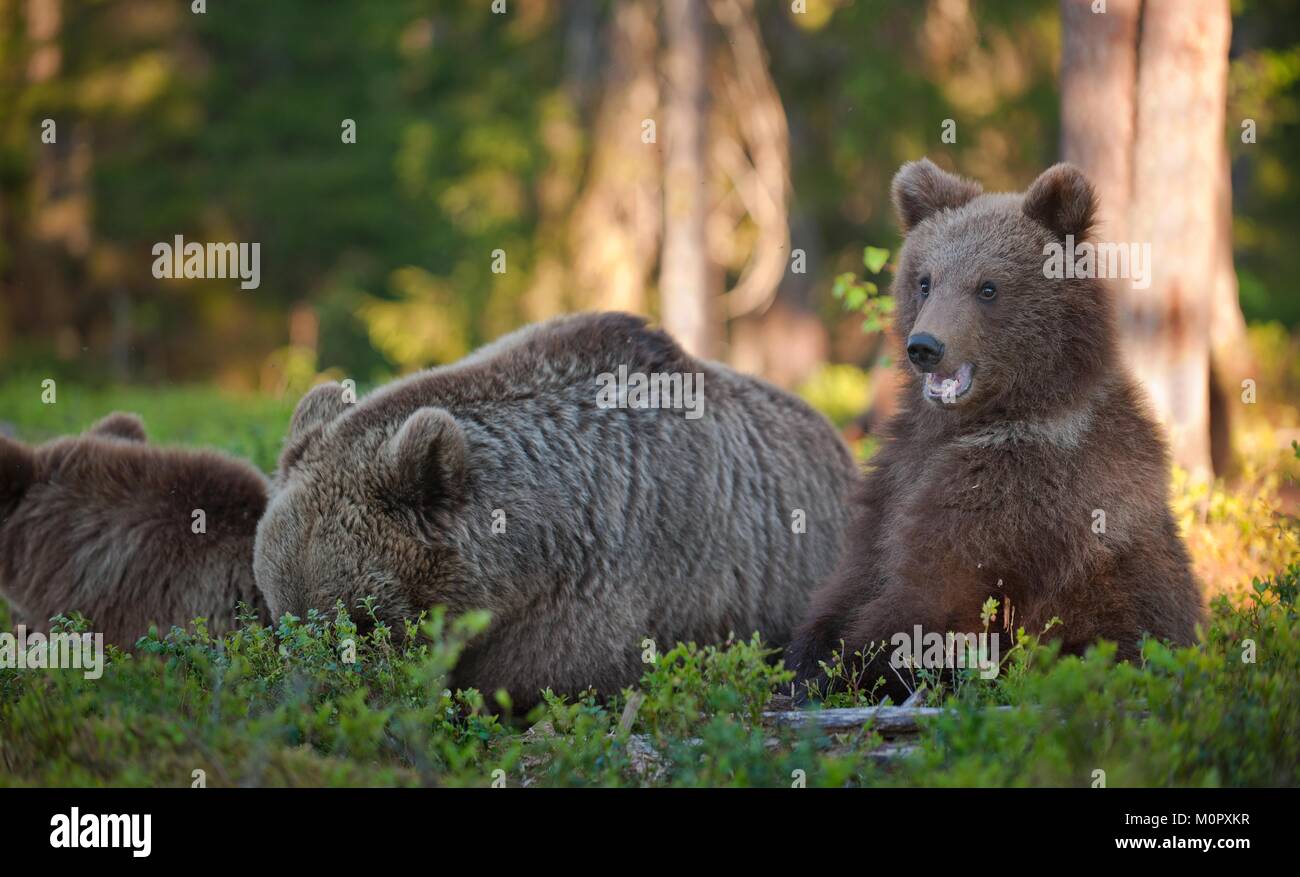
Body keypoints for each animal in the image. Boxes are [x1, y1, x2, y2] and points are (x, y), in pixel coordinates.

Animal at [786, 159, 1203, 703]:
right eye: (925, 281)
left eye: (988, 287)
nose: (925, 346)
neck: (979, 419)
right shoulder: (898, 476)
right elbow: (858, 575)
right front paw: (804, 659)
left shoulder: (1018, 490)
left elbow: (930, 599)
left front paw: (837, 674)